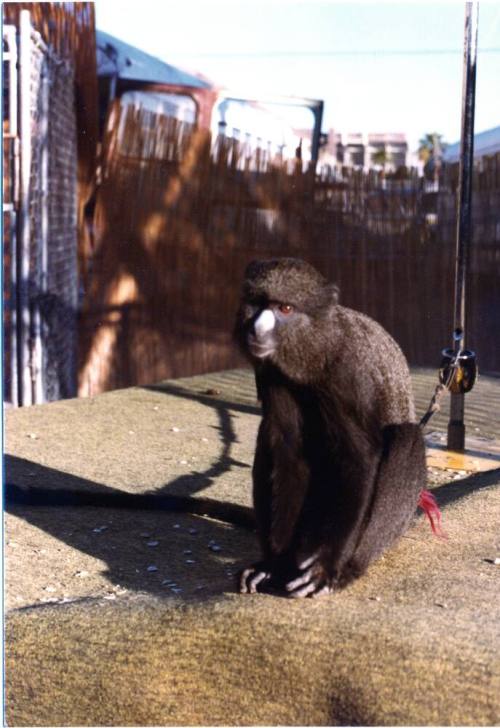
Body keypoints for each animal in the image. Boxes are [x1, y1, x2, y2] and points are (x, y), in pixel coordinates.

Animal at [234, 257, 429, 598]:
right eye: (257, 303)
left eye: (285, 308)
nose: (257, 329)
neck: (317, 350)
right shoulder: (271, 373)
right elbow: (287, 450)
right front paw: (275, 565)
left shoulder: (348, 375)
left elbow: (360, 458)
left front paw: (324, 568)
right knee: (266, 437)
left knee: (408, 439)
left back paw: (350, 568)